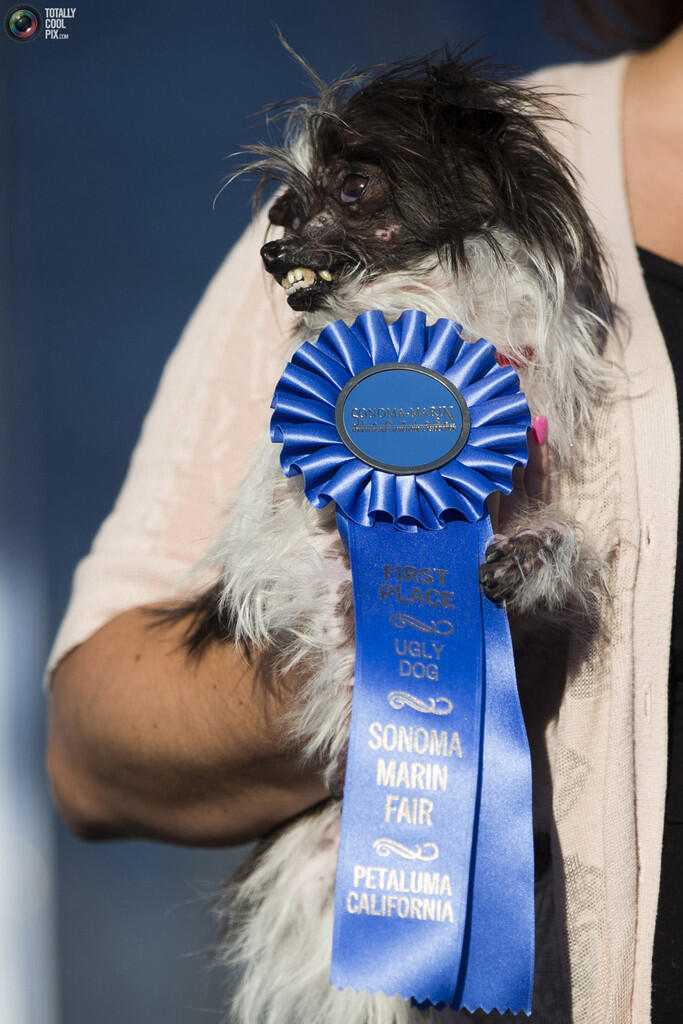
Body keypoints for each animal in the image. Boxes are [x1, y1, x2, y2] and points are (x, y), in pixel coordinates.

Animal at [166, 46, 614, 1015]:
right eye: (285, 210)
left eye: (355, 187)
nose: (271, 251)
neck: (421, 306)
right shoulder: (278, 522)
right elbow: (296, 547)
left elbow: (559, 547)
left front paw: (528, 560)